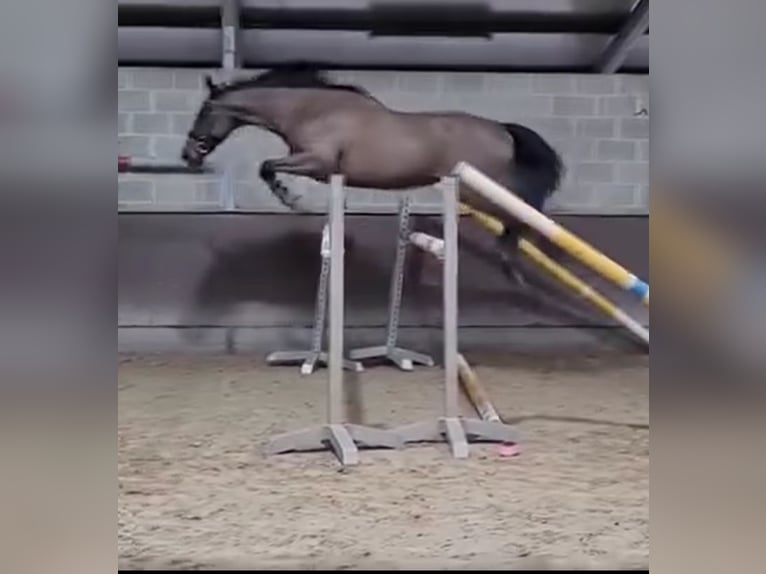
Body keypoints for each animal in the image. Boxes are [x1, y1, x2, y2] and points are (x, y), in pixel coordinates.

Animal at [180, 64, 564, 280]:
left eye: (204, 112)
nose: (188, 155)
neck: (310, 108)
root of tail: (502, 129)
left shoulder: (317, 162)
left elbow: (267, 167)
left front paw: (291, 199)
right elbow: (268, 167)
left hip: (477, 189)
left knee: (521, 211)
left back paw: (511, 259)